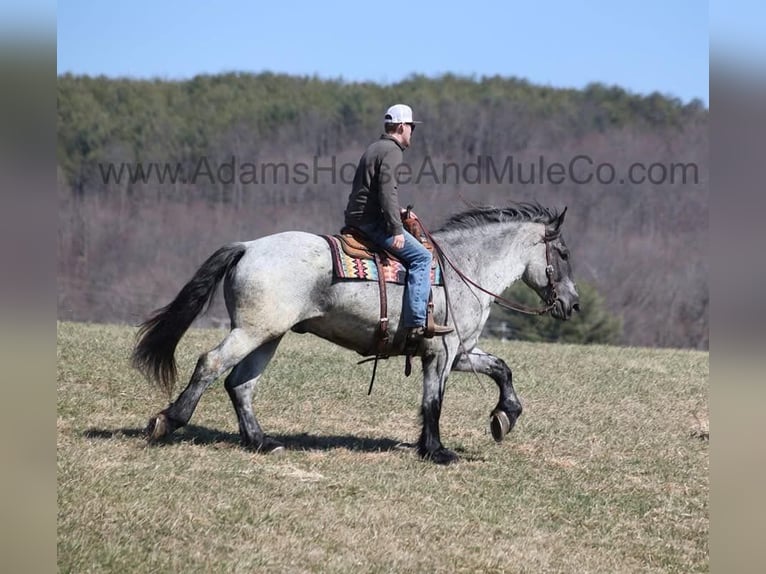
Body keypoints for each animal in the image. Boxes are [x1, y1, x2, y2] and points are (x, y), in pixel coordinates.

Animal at [132, 202, 580, 464]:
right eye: (563, 253)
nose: (573, 303)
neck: (463, 268)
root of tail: (248, 246)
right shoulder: (442, 351)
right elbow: (433, 401)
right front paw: (436, 451)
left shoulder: (461, 352)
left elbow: (502, 368)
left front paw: (505, 415)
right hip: (252, 331)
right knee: (210, 364)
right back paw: (168, 421)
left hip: (268, 335)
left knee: (240, 385)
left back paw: (261, 441)